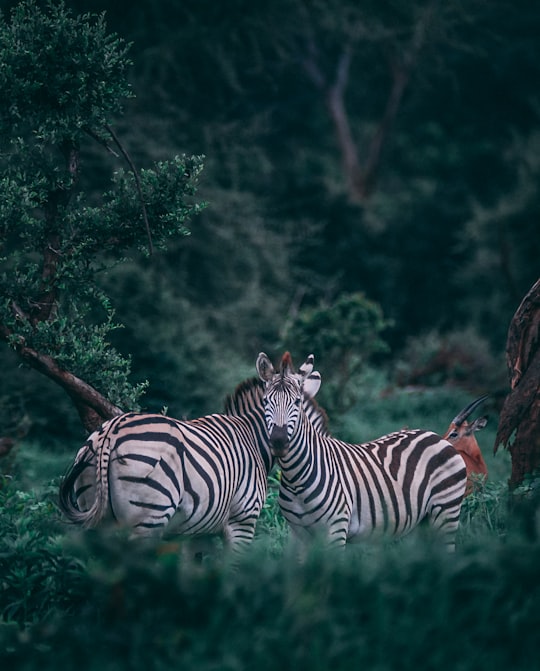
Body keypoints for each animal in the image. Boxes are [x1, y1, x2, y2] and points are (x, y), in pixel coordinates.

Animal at [59, 376, 330, 552]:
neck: (252, 437)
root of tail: (111, 430)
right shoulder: (242, 520)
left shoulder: (198, 531)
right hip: (148, 517)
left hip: (95, 512)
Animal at [255, 352, 466, 552]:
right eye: (265, 401)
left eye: (297, 402)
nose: (279, 442)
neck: (296, 478)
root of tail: (436, 436)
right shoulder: (297, 533)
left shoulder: (336, 528)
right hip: (420, 523)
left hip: (446, 512)